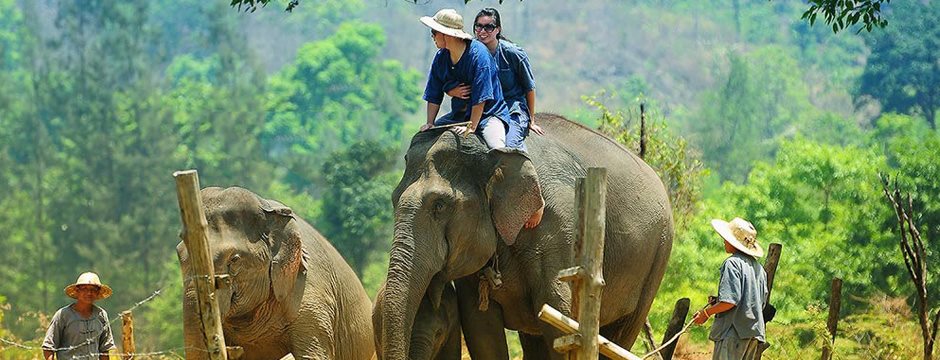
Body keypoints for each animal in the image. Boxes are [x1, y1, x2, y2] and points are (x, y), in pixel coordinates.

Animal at [370, 114, 672, 358]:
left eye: (440, 206)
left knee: (621, 333)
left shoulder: (557, 224)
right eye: (393, 200)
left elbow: (557, 316)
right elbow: (481, 327)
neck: (493, 151)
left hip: (658, 256)